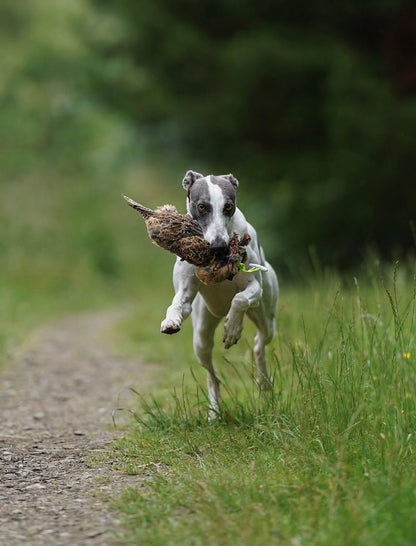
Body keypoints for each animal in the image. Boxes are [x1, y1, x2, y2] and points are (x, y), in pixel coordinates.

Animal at [160, 170, 280, 416]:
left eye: (229, 206)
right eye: (202, 206)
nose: (219, 246)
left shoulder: (255, 287)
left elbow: (240, 298)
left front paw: (232, 329)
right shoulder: (185, 294)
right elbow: (178, 304)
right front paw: (170, 320)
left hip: (267, 318)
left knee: (259, 344)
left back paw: (264, 381)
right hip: (201, 337)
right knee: (212, 376)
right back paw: (214, 412)